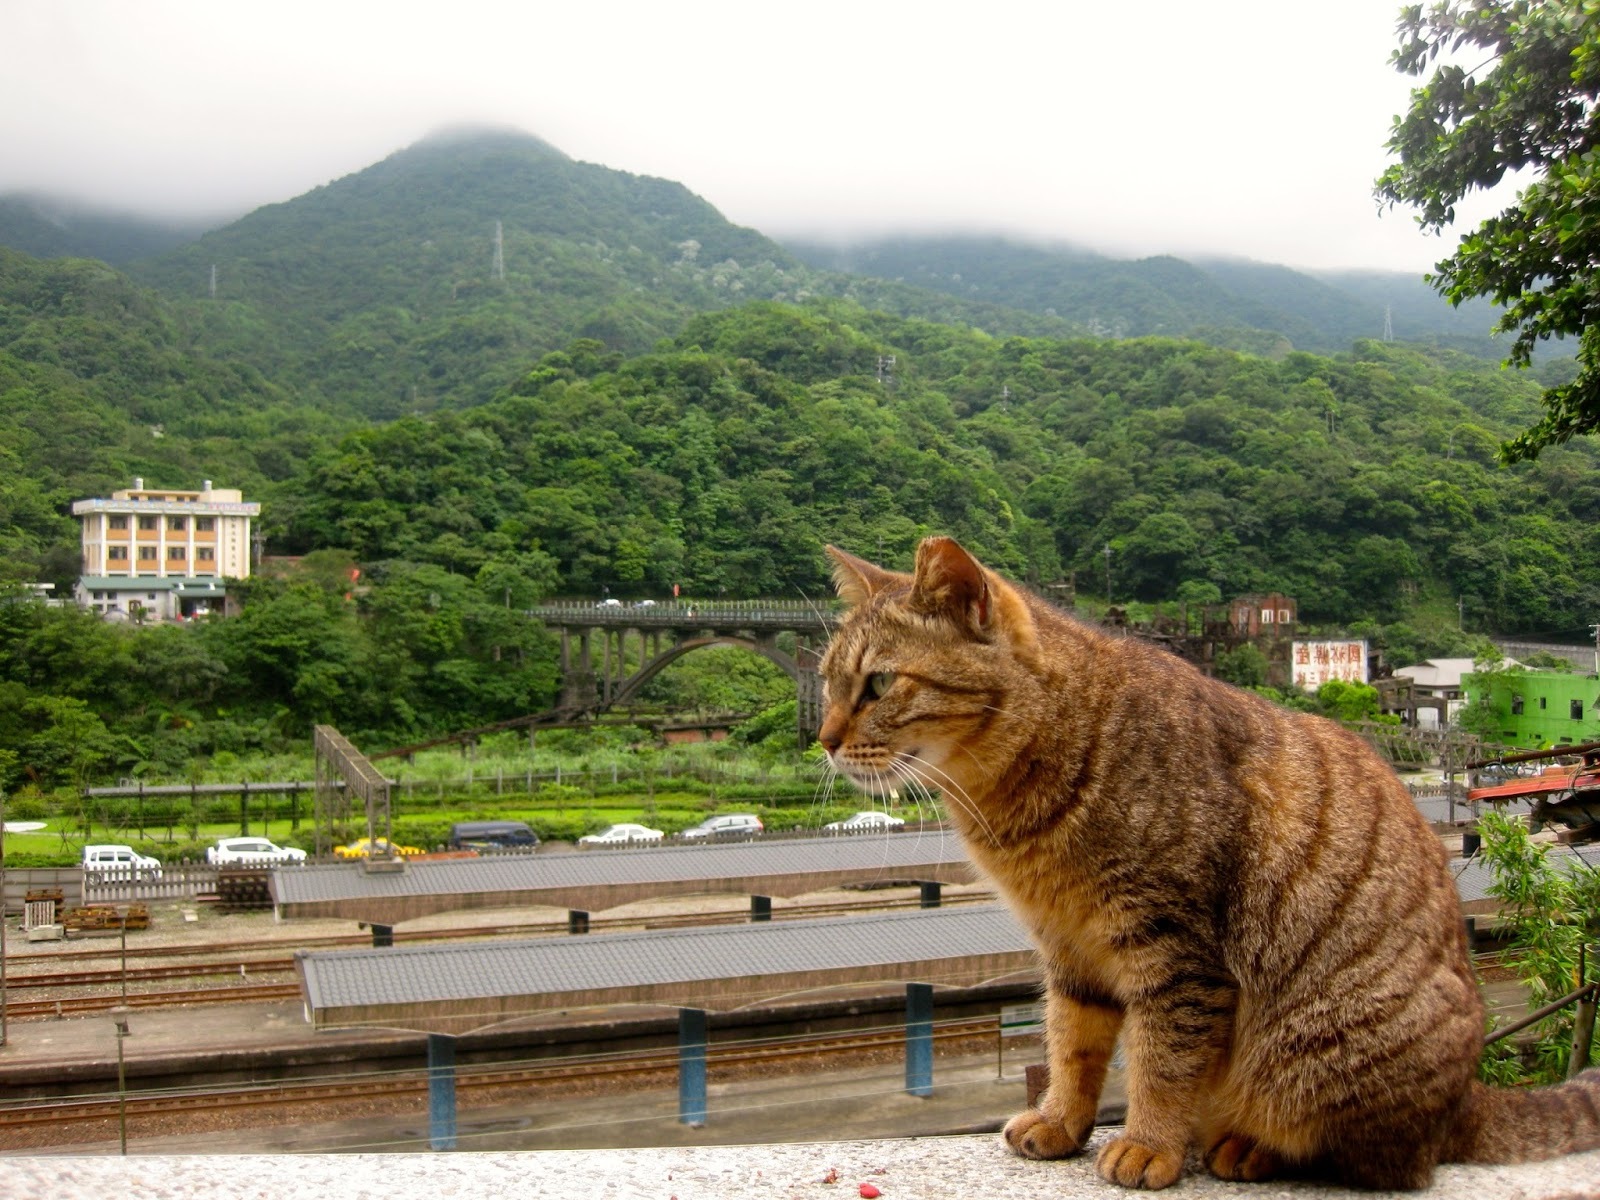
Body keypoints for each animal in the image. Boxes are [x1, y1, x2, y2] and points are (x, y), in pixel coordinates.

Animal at [819, 537, 1600, 1196]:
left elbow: (1163, 1060)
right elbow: (1072, 1043)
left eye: (879, 684)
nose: (822, 740)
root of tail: (1465, 1101)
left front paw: (1148, 1144)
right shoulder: (1068, 946)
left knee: (1380, 1159)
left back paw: (1250, 1147)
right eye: (826, 682)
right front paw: (1062, 1121)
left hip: (1326, 1046)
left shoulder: (1177, 949)